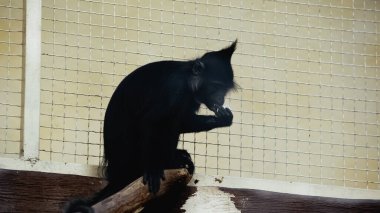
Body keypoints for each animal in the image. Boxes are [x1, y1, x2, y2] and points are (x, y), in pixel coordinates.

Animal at [65, 40, 238, 213]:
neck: (188, 79)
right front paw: (153, 170)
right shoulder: (175, 89)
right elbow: (151, 121)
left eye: (225, 89)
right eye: (216, 86)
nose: (221, 99)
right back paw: (170, 161)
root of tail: (118, 172)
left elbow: (183, 121)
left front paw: (224, 119)